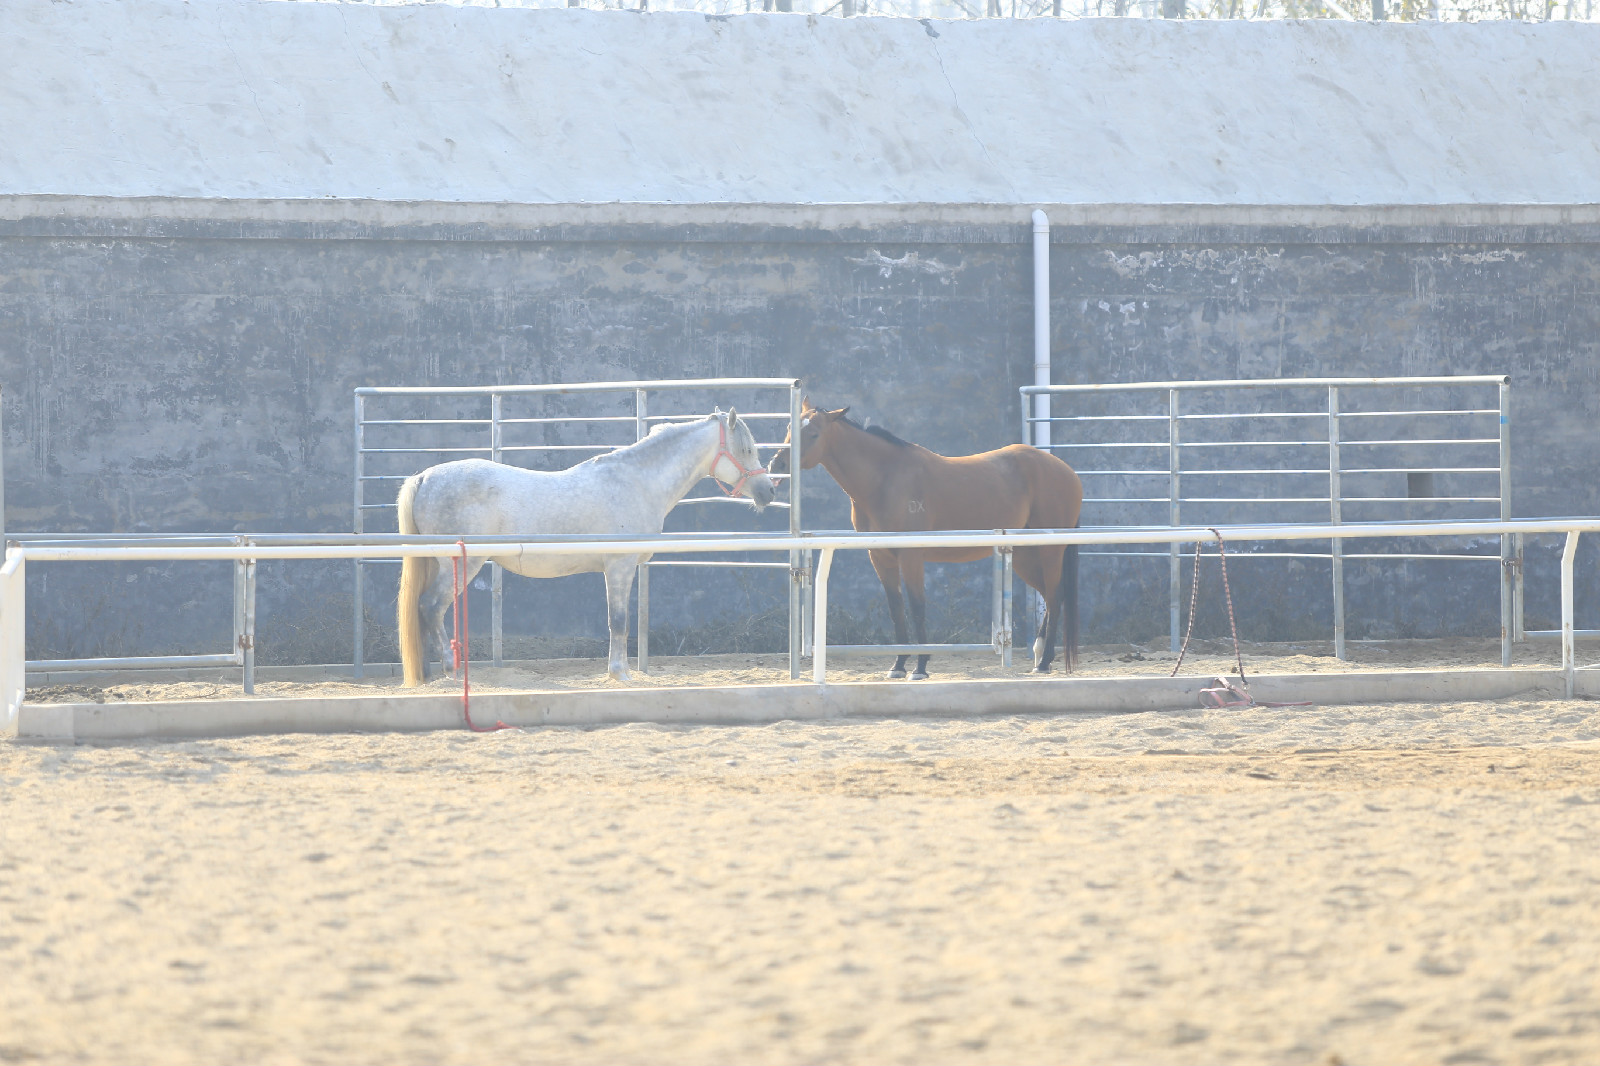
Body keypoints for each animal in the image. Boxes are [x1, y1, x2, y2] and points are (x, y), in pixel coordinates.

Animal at [398, 406, 774, 681]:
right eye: (746, 449)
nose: (769, 491)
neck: (637, 482)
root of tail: (424, 477)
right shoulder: (619, 566)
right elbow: (618, 620)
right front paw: (620, 673)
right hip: (462, 562)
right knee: (431, 606)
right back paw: (450, 667)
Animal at [774, 398, 1088, 681]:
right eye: (790, 427)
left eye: (814, 433)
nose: (777, 464)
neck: (886, 479)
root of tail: (1067, 471)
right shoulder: (881, 557)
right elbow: (896, 608)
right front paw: (898, 665)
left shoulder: (911, 555)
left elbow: (917, 607)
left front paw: (921, 667)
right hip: (1025, 555)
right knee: (1051, 596)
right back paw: (1039, 655)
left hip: (1049, 551)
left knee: (1055, 596)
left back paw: (1044, 662)